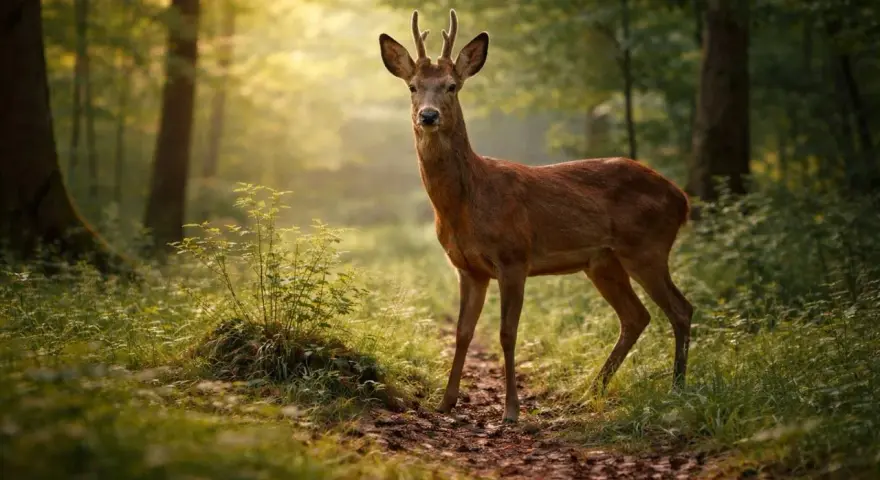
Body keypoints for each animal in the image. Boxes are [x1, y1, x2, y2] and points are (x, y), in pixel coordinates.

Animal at [378, 9, 694, 424]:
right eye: (413, 87)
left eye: (452, 86)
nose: (428, 116)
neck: (466, 203)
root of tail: (682, 198)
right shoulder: (467, 268)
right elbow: (463, 333)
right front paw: (445, 402)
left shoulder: (514, 257)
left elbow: (507, 333)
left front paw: (511, 410)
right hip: (603, 261)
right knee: (636, 316)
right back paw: (587, 395)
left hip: (646, 247)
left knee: (680, 309)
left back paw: (677, 390)